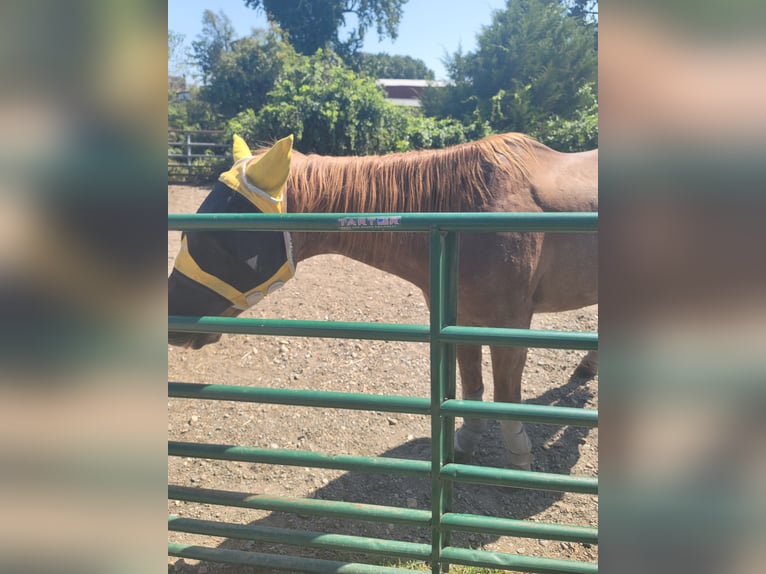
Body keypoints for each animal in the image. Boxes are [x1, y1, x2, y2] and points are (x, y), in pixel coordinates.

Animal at [168, 133, 598, 470]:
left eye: (217, 238)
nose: (173, 320)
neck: (469, 212)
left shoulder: (510, 325)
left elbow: (506, 398)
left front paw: (518, 460)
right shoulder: (460, 318)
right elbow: (471, 387)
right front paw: (465, 444)